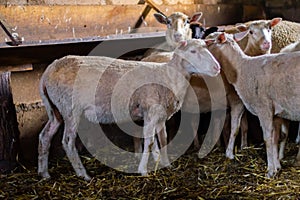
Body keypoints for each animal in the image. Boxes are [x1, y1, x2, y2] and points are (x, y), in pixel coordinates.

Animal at [37, 38, 220, 180]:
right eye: (193, 51)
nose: (217, 68)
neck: (168, 76)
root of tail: (48, 71)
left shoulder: (159, 116)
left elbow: (163, 138)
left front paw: (165, 163)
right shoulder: (151, 112)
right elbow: (150, 141)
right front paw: (143, 170)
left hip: (56, 109)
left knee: (45, 135)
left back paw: (44, 173)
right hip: (70, 108)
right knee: (68, 142)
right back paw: (83, 174)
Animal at [206, 32, 300, 178]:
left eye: (209, 41)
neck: (240, 69)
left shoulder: (264, 108)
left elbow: (267, 139)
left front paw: (270, 171)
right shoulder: (275, 113)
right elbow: (275, 138)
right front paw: (277, 166)